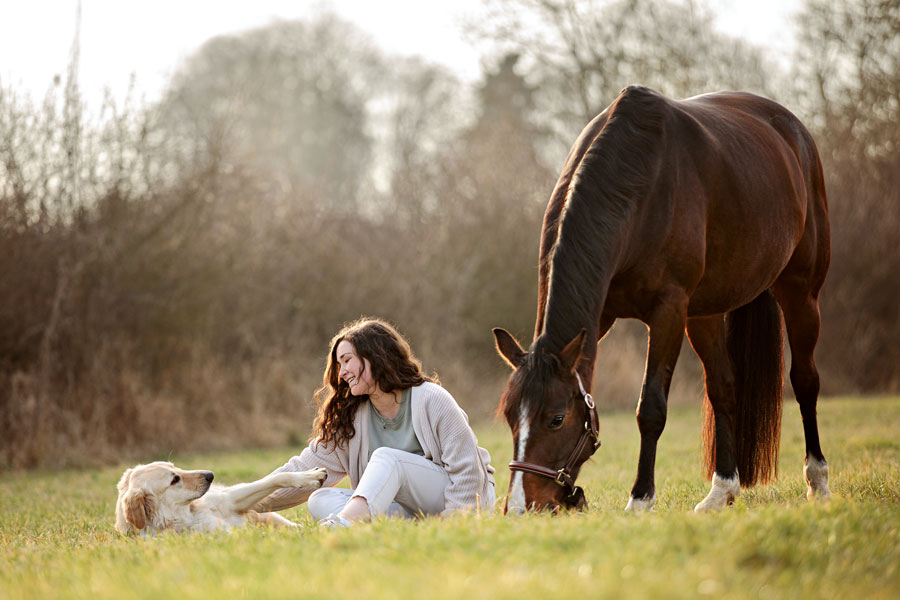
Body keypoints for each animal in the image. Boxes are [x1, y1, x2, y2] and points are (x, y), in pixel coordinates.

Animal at [493, 85, 831, 513]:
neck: (638, 185)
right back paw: (721, 491)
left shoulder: (668, 311)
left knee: (805, 381)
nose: (522, 507)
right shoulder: (601, 316)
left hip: (801, 293)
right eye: (509, 416)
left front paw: (640, 499)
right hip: (704, 313)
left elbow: (650, 408)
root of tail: (795, 133)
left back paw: (818, 480)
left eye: (555, 418)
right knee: (723, 387)